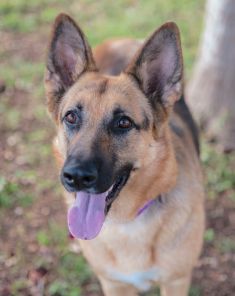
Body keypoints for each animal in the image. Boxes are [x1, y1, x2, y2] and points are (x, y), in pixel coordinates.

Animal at [45, 13, 205, 296]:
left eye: (123, 123)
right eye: (71, 117)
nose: (76, 177)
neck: (127, 223)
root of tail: (120, 41)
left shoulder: (176, 281)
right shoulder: (114, 284)